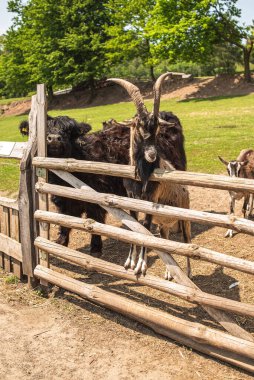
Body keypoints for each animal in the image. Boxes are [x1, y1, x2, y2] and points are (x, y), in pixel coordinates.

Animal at [108, 72, 191, 280]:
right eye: (138, 125)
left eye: (157, 128)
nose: (152, 154)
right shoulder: (131, 198)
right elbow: (134, 227)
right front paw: (129, 262)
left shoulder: (150, 199)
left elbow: (145, 227)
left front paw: (141, 266)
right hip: (164, 224)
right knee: (166, 240)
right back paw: (169, 273)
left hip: (184, 218)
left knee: (187, 242)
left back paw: (188, 273)